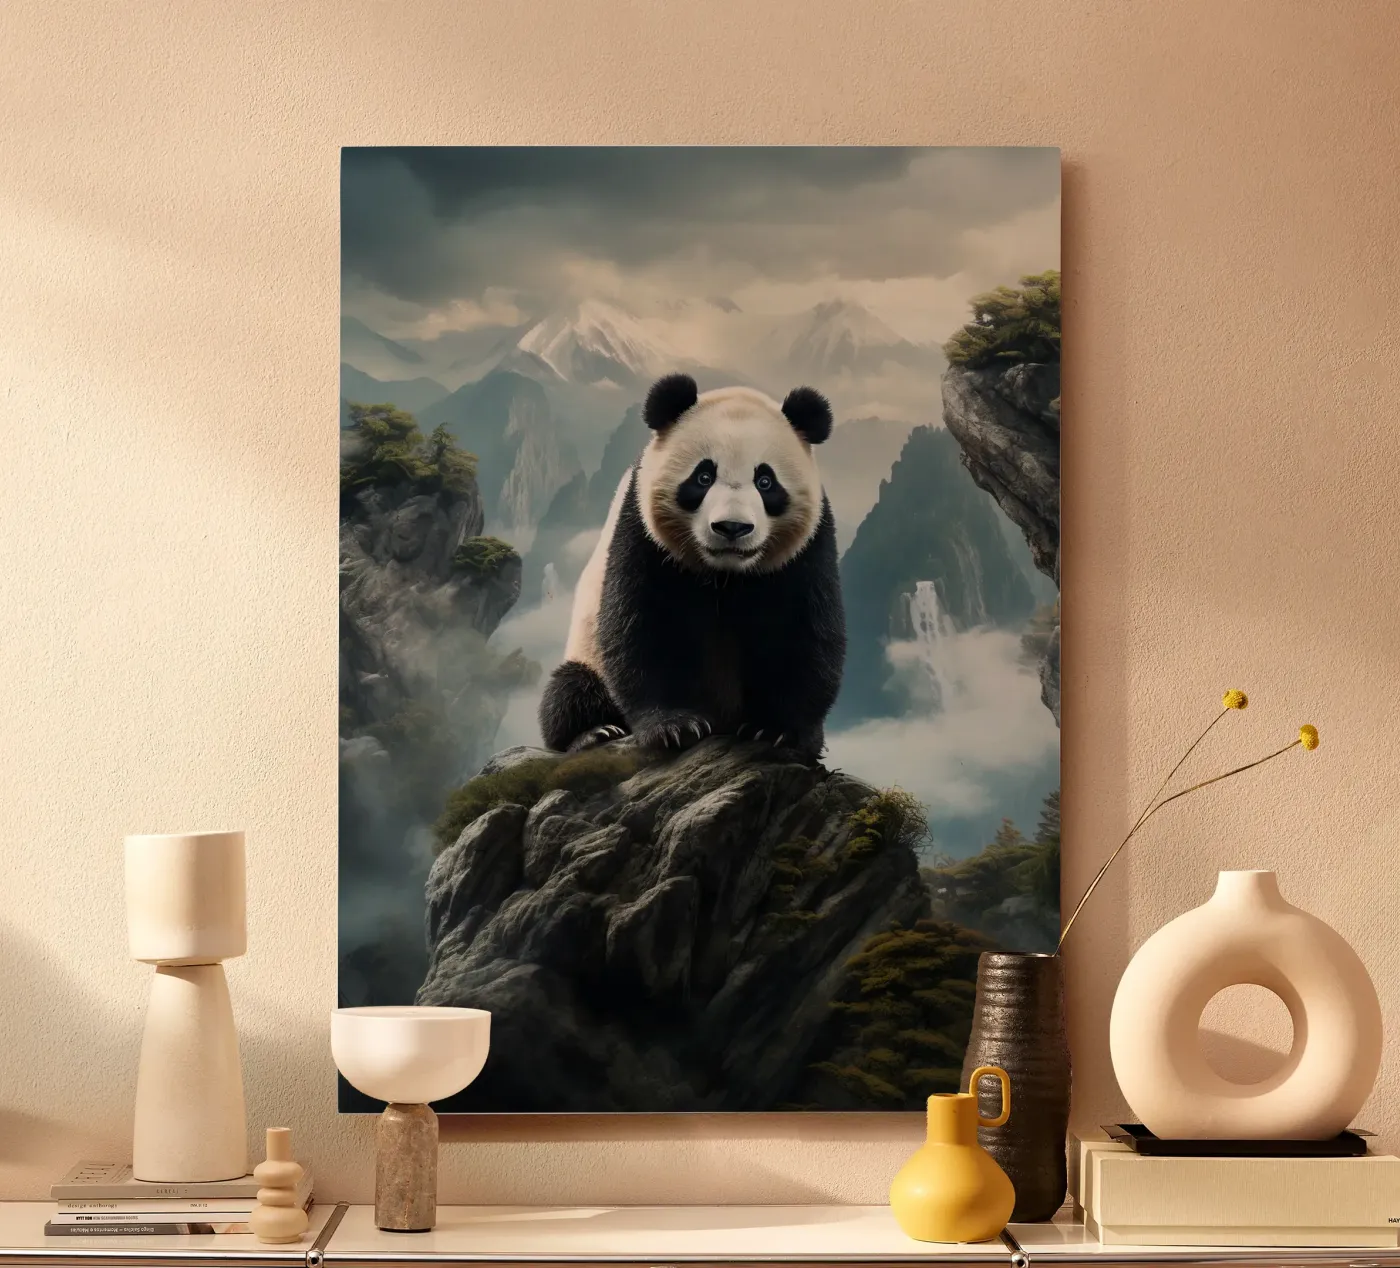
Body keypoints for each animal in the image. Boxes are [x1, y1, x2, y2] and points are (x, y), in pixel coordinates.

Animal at [538, 372, 845, 760]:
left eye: (765, 481)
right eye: (703, 477)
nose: (732, 527)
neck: (724, 575)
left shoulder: (807, 548)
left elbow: (804, 629)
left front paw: (776, 730)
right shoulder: (642, 531)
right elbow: (641, 623)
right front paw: (674, 727)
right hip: (587, 655)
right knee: (570, 690)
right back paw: (593, 733)